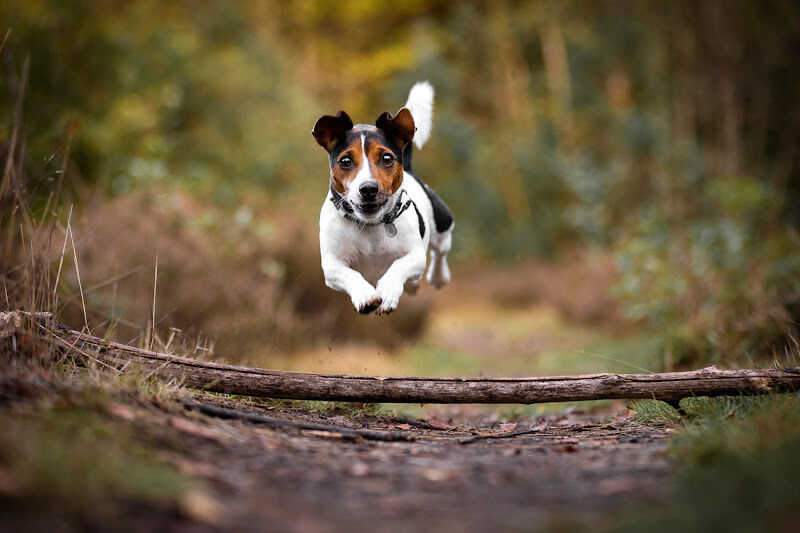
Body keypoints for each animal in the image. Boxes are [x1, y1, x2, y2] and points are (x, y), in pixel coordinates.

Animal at [312, 81, 454, 314]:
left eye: (387, 158)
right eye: (345, 161)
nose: (368, 189)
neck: (370, 225)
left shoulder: (415, 256)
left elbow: (399, 266)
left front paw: (388, 292)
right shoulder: (332, 265)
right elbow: (349, 274)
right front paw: (364, 294)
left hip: (443, 223)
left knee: (440, 252)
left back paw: (438, 277)